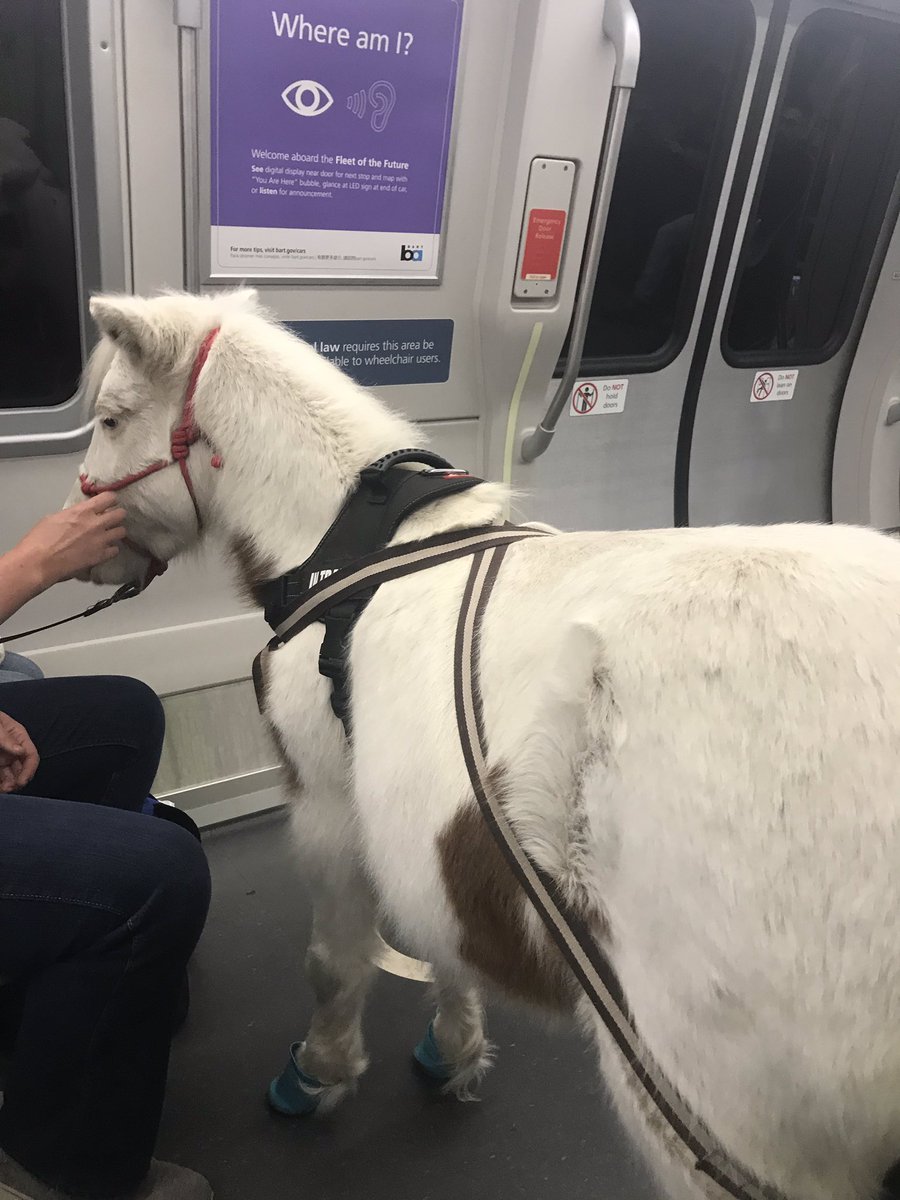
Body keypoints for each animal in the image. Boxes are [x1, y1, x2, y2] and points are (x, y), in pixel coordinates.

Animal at [67, 288, 900, 1200]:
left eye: (111, 419)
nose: (85, 538)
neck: (353, 547)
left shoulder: (327, 806)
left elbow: (334, 960)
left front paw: (320, 1071)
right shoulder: (425, 827)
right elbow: (444, 943)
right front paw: (455, 1047)